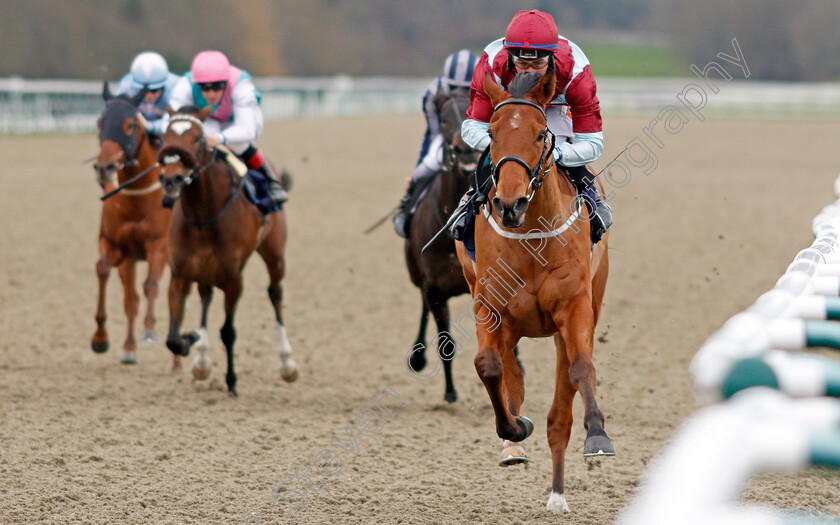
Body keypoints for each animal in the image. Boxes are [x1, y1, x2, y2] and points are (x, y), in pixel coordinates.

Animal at [92, 85, 171, 364]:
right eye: (100, 122)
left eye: (129, 125)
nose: (104, 166)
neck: (137, 197)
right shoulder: (118, 247)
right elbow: (104, 271)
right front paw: (101, 339)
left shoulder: (159, 245)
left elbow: (151, 286)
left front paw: (149, 329)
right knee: (131, 299)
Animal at [158, 105, 298, 392]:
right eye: (165, 136)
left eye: (198, 138)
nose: (171, 179)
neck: (203, 216)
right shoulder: (180, 274)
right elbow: (172, 338)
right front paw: (191, 340)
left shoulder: (234, 279)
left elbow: (228, 332)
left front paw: (232, 381)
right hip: (205, 271)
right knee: (205, 296)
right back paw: (201, 360)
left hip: (275, 255)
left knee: (275, 294)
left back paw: (287, 364)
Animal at [456, 70, 612, 512]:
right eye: (491, 133)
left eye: (542, 133)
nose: (510, 203)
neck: (531, 238)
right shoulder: (488, 306)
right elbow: (489, 367)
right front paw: (514, 429)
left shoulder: (575, 308)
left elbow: (581, 369)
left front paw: (598, 435)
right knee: (510, 374)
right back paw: (514, 446)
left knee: (561, 410)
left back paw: (558, 494)